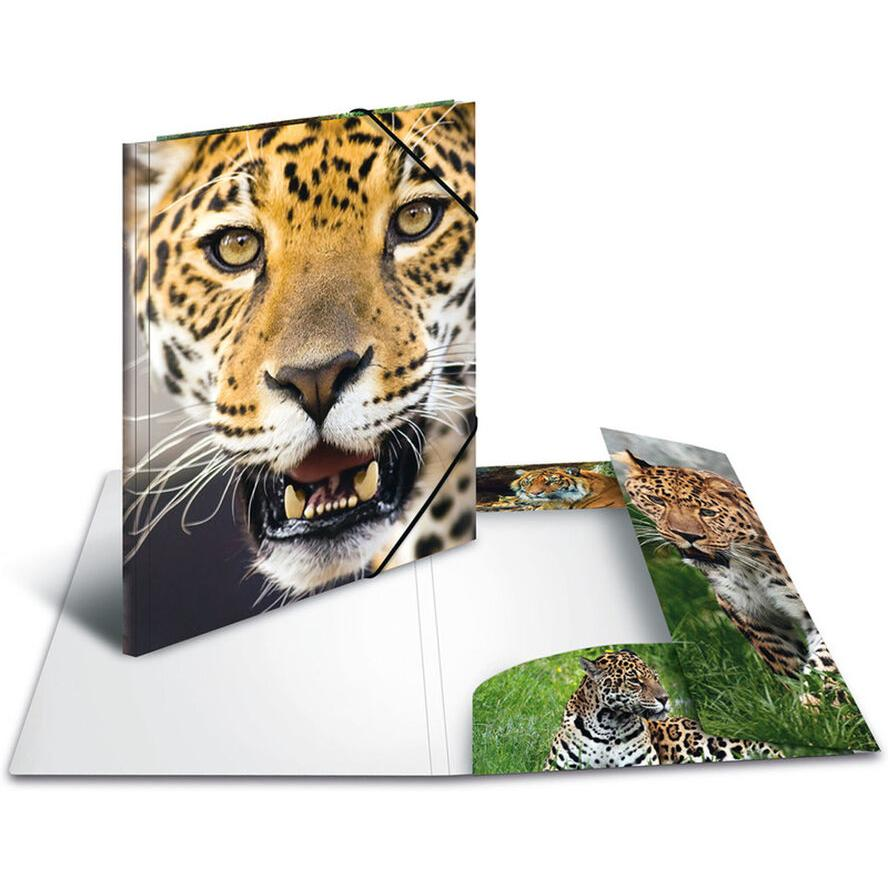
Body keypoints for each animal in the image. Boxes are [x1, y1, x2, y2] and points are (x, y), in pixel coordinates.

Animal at [613, 450, 836, 680]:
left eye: (708, 513)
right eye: (656, 500)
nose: (688, 536)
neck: (747, 567)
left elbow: (825, 661)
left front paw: (819, 689)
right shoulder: (750, 612)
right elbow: (782, 658)